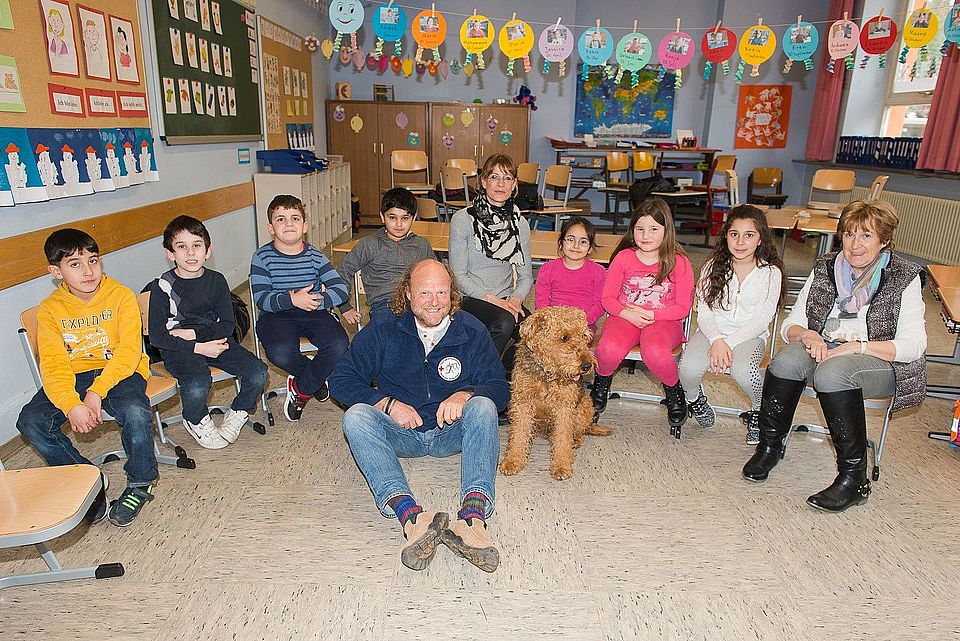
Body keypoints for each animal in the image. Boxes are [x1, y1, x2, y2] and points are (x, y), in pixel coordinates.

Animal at [499, 306, 613, 480]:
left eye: (584, 336)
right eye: (564, 337)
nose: (587, 366)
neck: (547, 373)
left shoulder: (564, 408)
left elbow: (562, 438)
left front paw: (561, 467)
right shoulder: (522, 403)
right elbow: (519, 434)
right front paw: (512, 462)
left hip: (584, 407)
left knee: (579, 431)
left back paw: (575, 439)